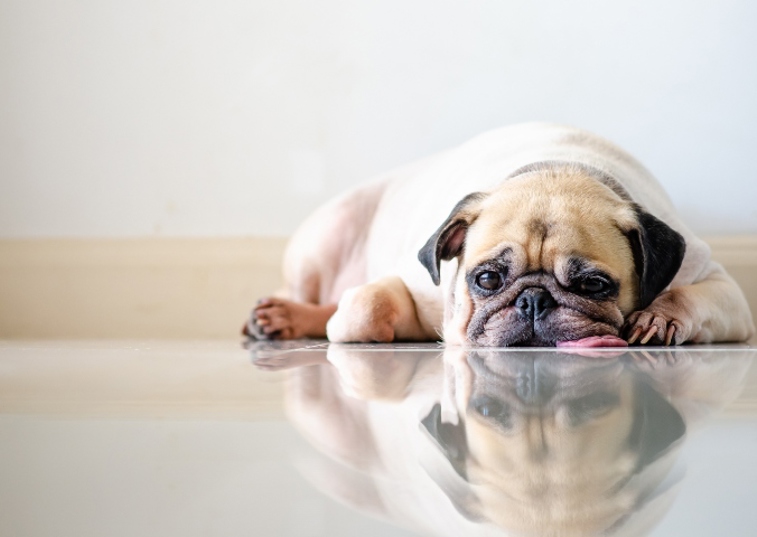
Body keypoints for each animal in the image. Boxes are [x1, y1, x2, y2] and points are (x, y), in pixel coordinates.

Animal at [245, 123, 752, 346]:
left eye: (593, 285)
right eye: (487, 280)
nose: (533, 300)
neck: (556, 168)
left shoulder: (719, 286)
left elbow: (685, 296)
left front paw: (657, 317)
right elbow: (365, 309)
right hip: (324, 236)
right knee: (316, 294)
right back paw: (283, 316)